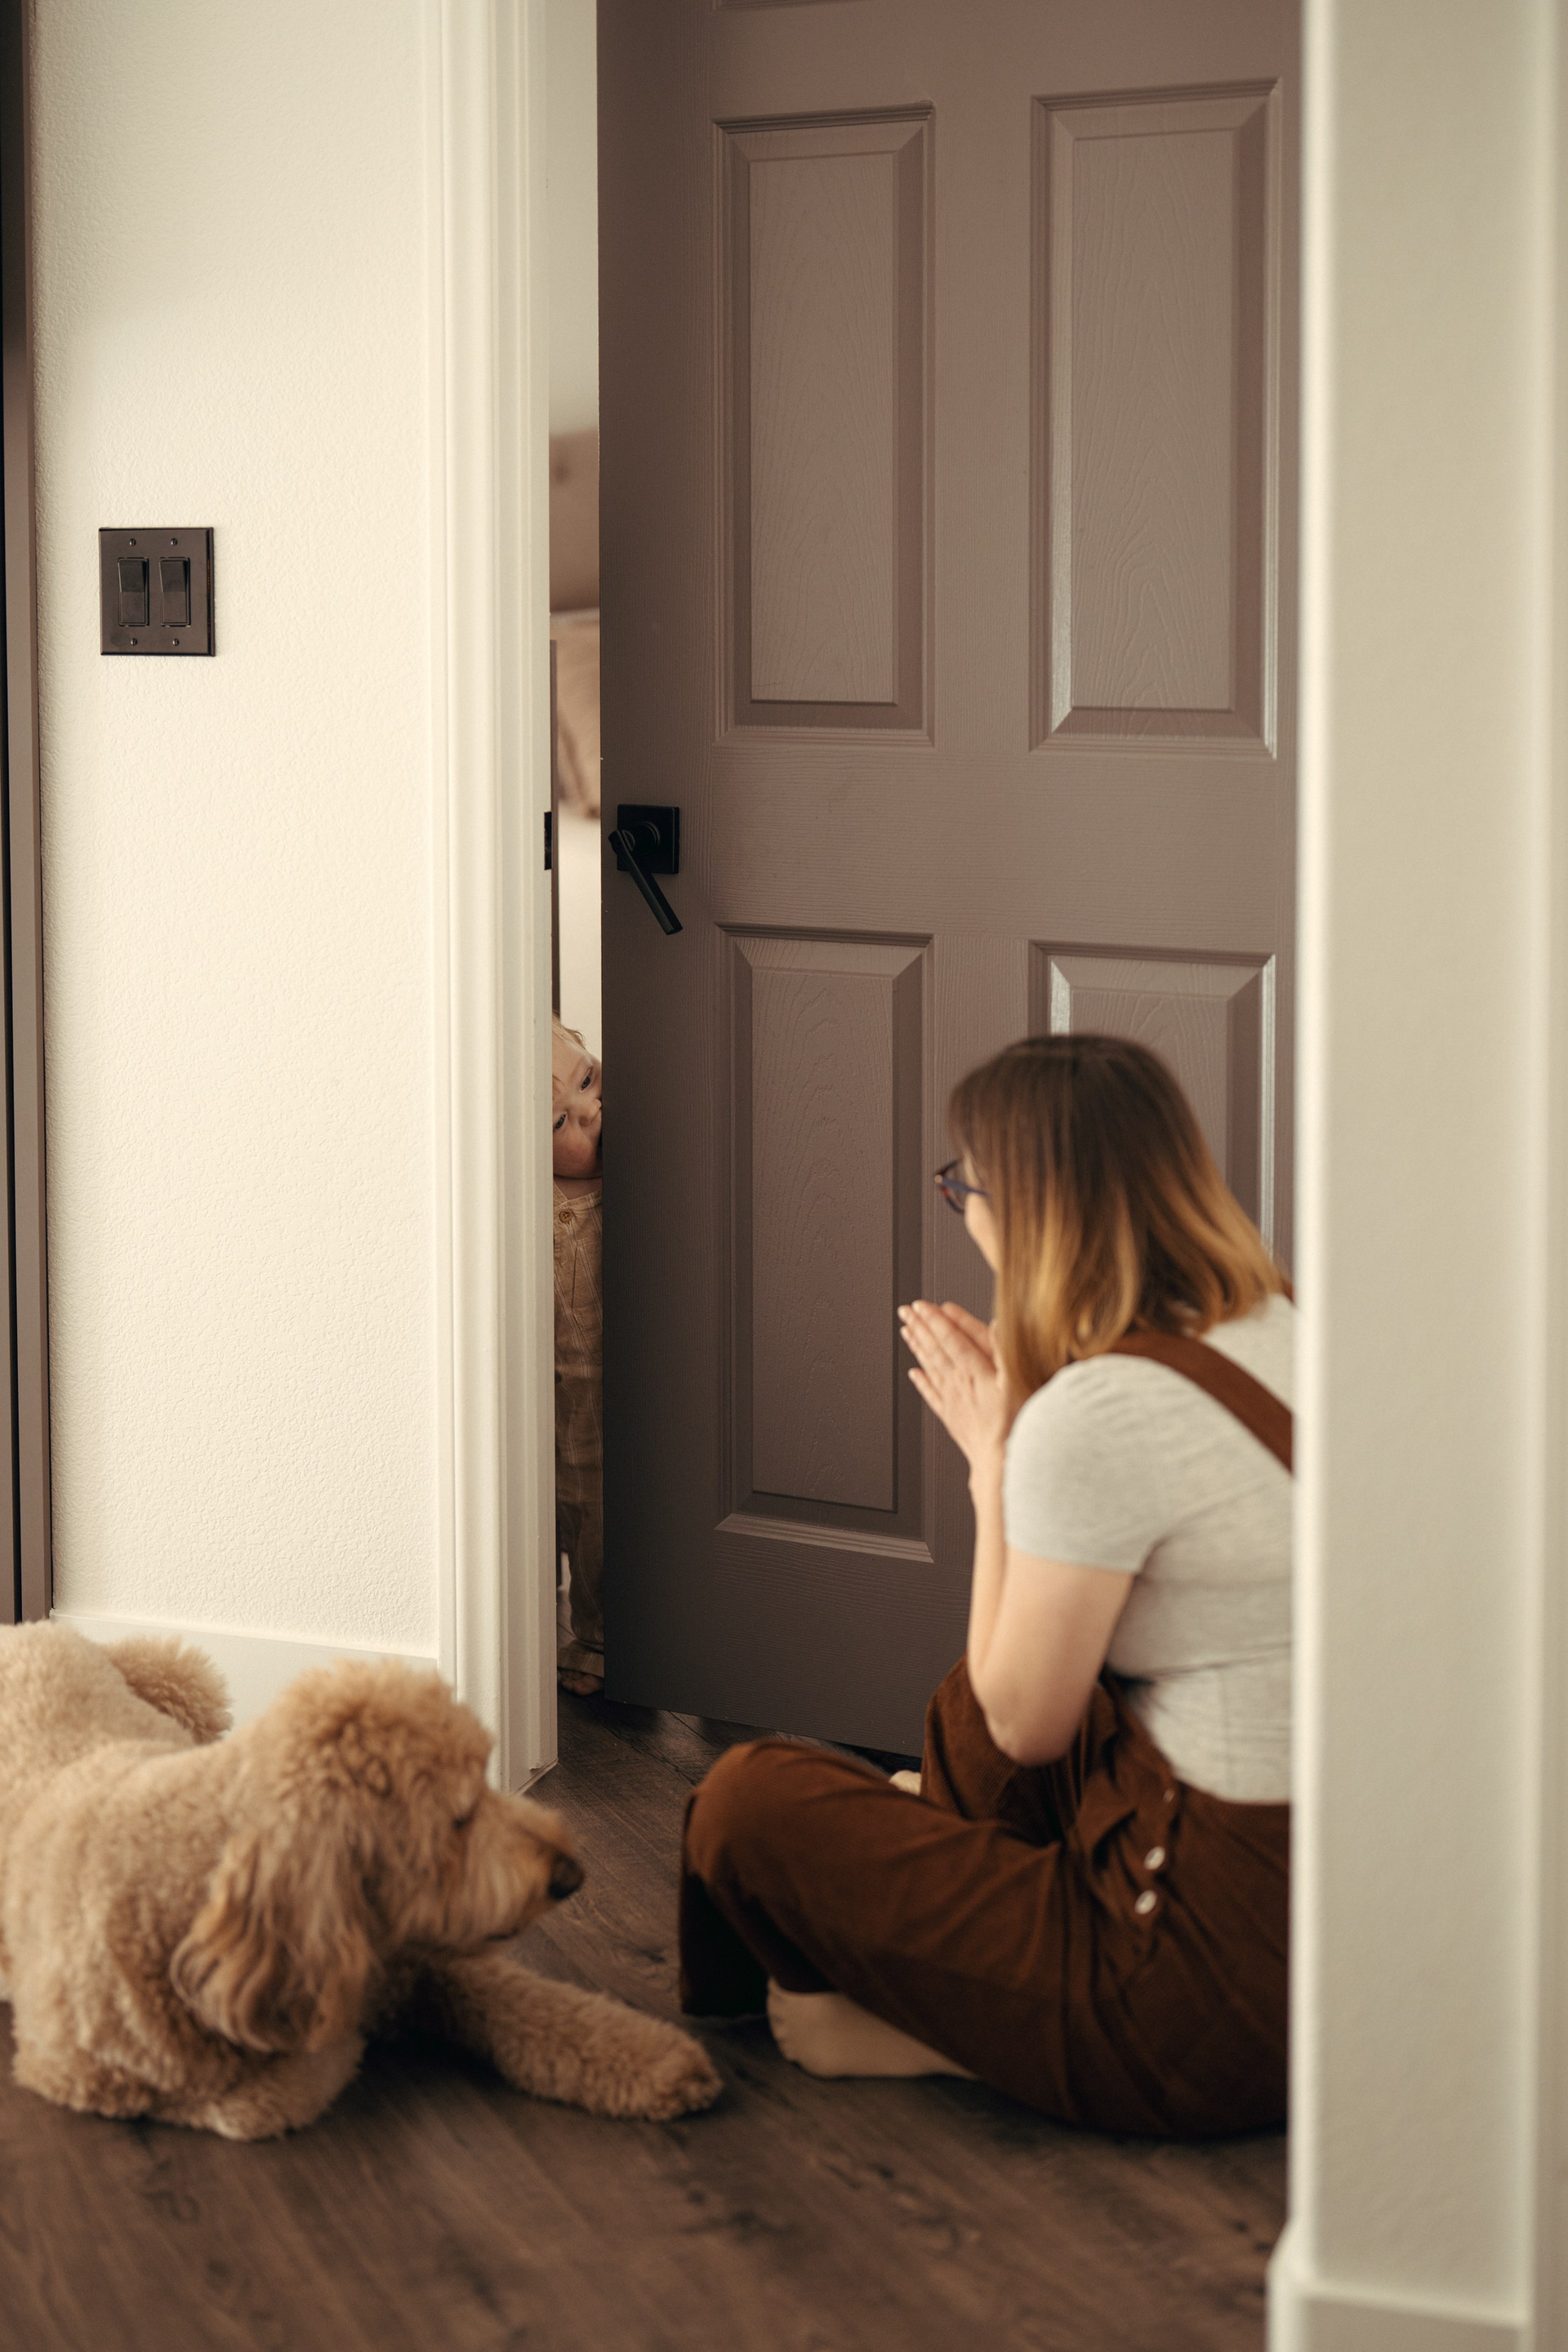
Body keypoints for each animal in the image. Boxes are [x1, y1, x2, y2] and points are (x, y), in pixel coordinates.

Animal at [0, 1624, 721, 2139]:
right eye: (458, 1817)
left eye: (488, 1779)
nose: (571, 1875)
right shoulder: (92, 2074)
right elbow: (265, 2099)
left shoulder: (423, 1961)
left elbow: (548, 2009)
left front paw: (660, 2060)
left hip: (185, 1684)